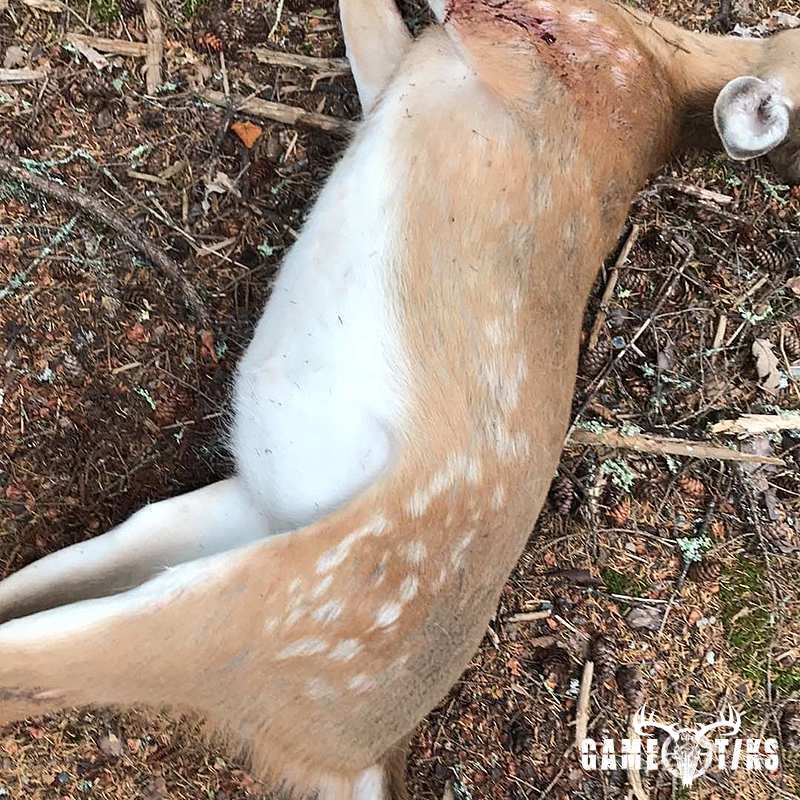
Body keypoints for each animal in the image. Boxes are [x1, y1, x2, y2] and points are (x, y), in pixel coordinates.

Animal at [0, 1, 798, 798]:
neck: (663, 73)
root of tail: (360, 754)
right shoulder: (418, 67)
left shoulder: (527, 34)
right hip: (210, 524)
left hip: (266, 613)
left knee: (42, 667)